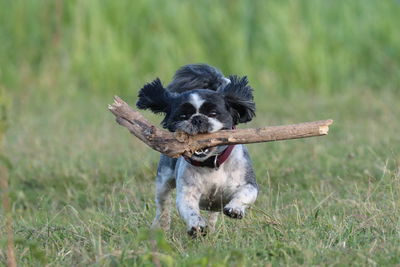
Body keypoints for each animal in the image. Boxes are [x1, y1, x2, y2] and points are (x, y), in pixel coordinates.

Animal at [136, 63, 258, 238]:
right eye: (182, 116)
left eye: (213, 113)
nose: (197, 119)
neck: (212, 163)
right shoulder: (187, 191)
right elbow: (189, 209)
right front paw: (196, 226)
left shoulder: (247, 181)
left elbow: (246, 193)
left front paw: (235, 209)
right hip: (163, 179)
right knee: (163, 206)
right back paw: (162, 226)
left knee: (213, 215)